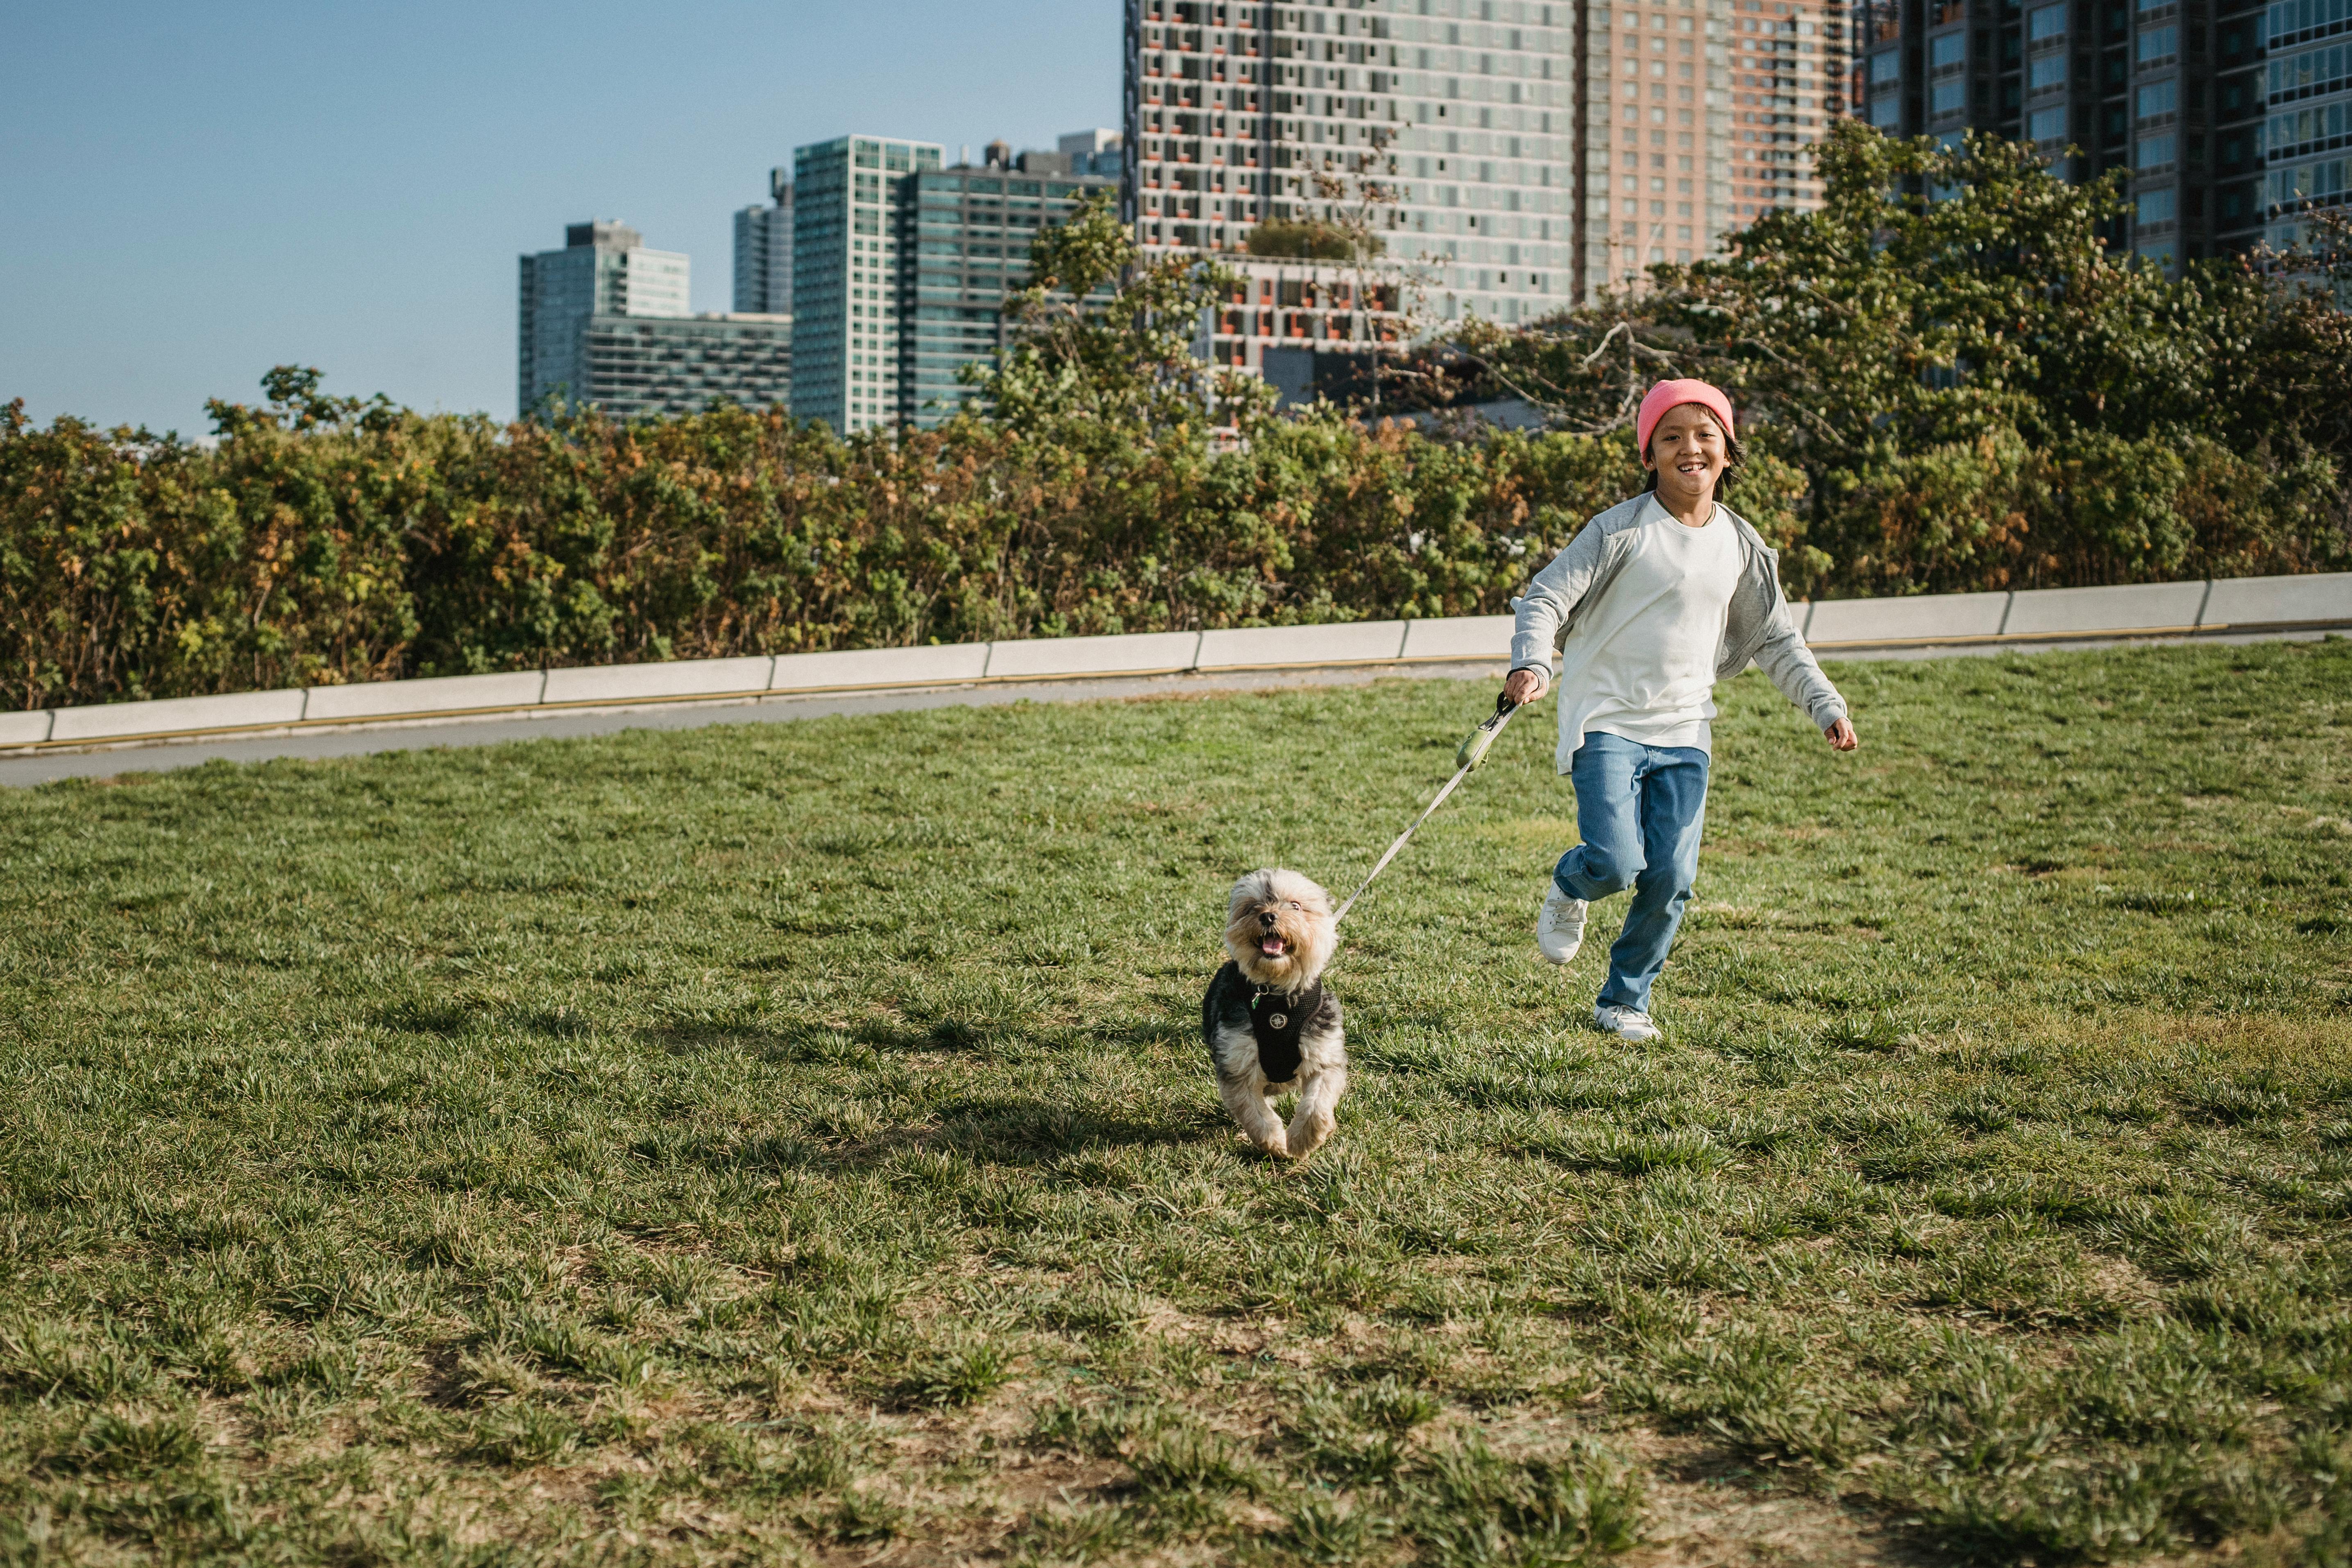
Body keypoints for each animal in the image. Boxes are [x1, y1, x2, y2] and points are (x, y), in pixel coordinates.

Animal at [1204, 865, 1354, 1161]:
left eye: (1296, 906)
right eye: (1252, 907)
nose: (1268, 915)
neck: (1278, 997)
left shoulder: (1323, 1055)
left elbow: (1316, 1106)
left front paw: (1301, 1141)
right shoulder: (1237, 1063)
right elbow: (1255, 1113)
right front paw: (1276, 1144)